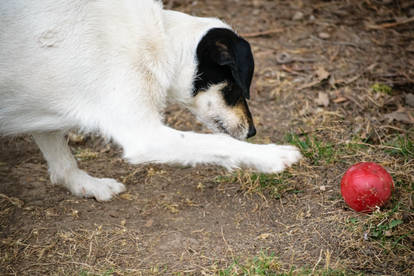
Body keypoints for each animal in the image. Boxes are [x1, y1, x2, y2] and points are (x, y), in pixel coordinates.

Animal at [0, 0, 300, 201]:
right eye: (235, 88)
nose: (253, 132)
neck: (163, 40)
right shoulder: (144, 134)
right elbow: (220, 143)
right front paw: (272, 155)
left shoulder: (41, 111)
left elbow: (63, 163)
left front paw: (87, 186)